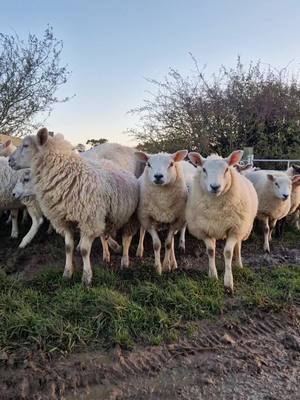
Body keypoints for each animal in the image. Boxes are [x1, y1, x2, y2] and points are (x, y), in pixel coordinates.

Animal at [9, 128, 139, 284]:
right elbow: (68, 247)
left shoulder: (88, 220)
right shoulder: (64, 220)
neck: (67, 175)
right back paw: (109, 252)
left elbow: (84, 250)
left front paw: (86, 277)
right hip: (104, 215)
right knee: (104, 234)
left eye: (26, 145)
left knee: (127, 238)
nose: (9, 160)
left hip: (127, 215)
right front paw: (67, 273)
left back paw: (125, 260)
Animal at [185, 152, 258, 292]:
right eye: (204, 169)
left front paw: (228, 282)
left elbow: (228, 253)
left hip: (241, 227)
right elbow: (210, 251)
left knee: (238, 246)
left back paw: (238, 264)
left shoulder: (234, 229)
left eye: (226, 169)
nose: (215, 187)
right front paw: (213, 275)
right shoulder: (205, 229)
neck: (216, 205)